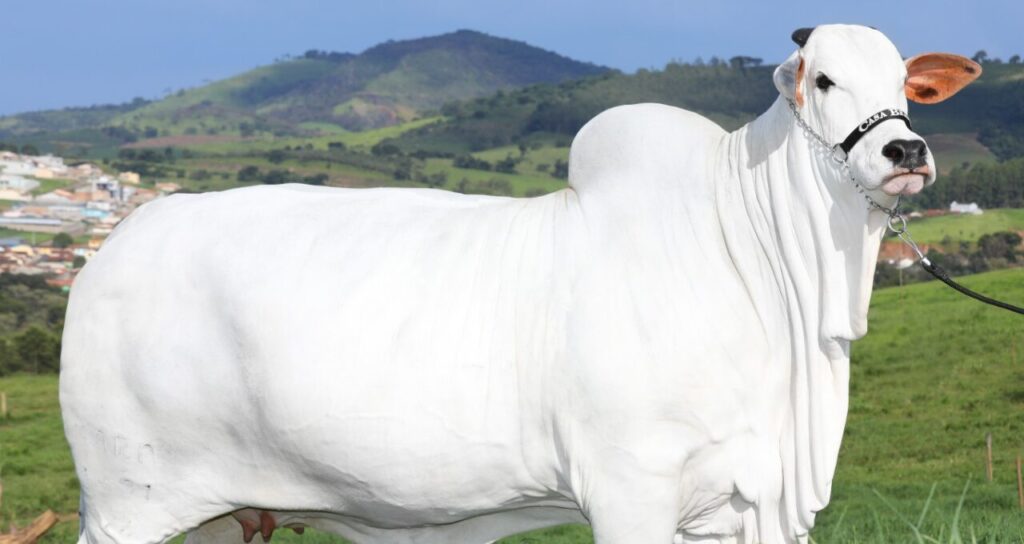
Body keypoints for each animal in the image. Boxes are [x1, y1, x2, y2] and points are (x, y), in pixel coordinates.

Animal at [60, 24, 980, 544]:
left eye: (906, 86)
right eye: (822, 79)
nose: (905, 150)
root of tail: (117, 245)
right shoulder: (631, 488)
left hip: (217, 515)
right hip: (128, 505)